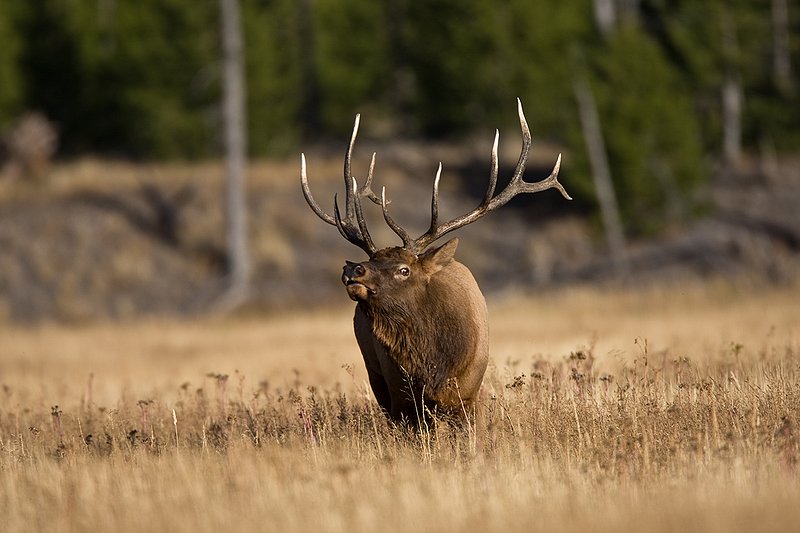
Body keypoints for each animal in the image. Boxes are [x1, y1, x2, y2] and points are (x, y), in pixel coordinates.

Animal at [300, 99, 571, 425]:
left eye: (404, 270)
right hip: (374, 371)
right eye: (371, 259)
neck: (434, 366)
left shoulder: (468, 394)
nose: (353, 269)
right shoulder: (401, 398)